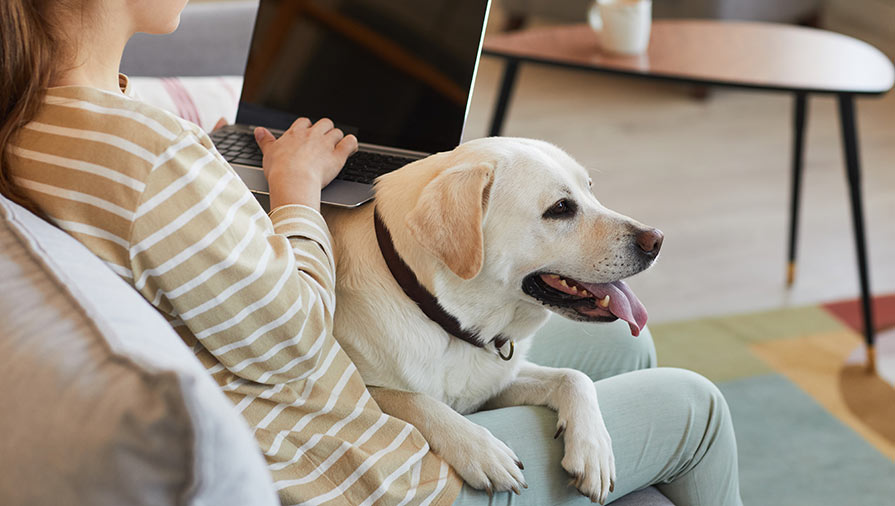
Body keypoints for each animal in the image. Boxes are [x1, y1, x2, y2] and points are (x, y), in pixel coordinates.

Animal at [326, 136, 660, 504]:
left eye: (589, 189)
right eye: (560, 208)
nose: (656, 240)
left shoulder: (494, 384)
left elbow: (574, 377)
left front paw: (594, 450)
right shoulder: (358, 389)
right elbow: (412, 400)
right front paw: (480, 450)